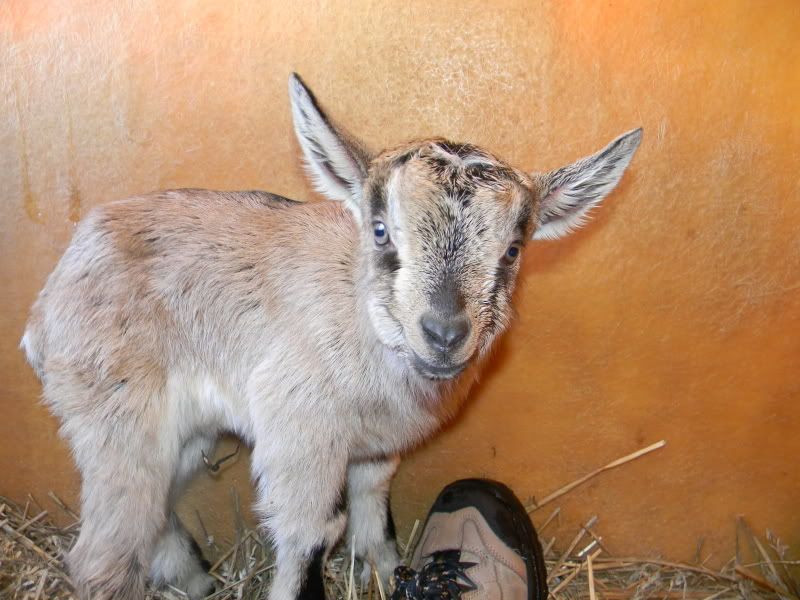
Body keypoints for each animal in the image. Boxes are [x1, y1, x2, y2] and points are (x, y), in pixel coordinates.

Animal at [21, 74, 642, 600]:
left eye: (513, 250)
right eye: (381, 230)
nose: (444, 333)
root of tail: (45, 309)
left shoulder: (376, 445)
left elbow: (373, 508)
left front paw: (390, 572)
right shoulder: (302, 436)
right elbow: (309, 535)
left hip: (181, 435)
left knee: (156, 511)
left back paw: (194, 578)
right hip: (118, 416)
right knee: (102, 553)